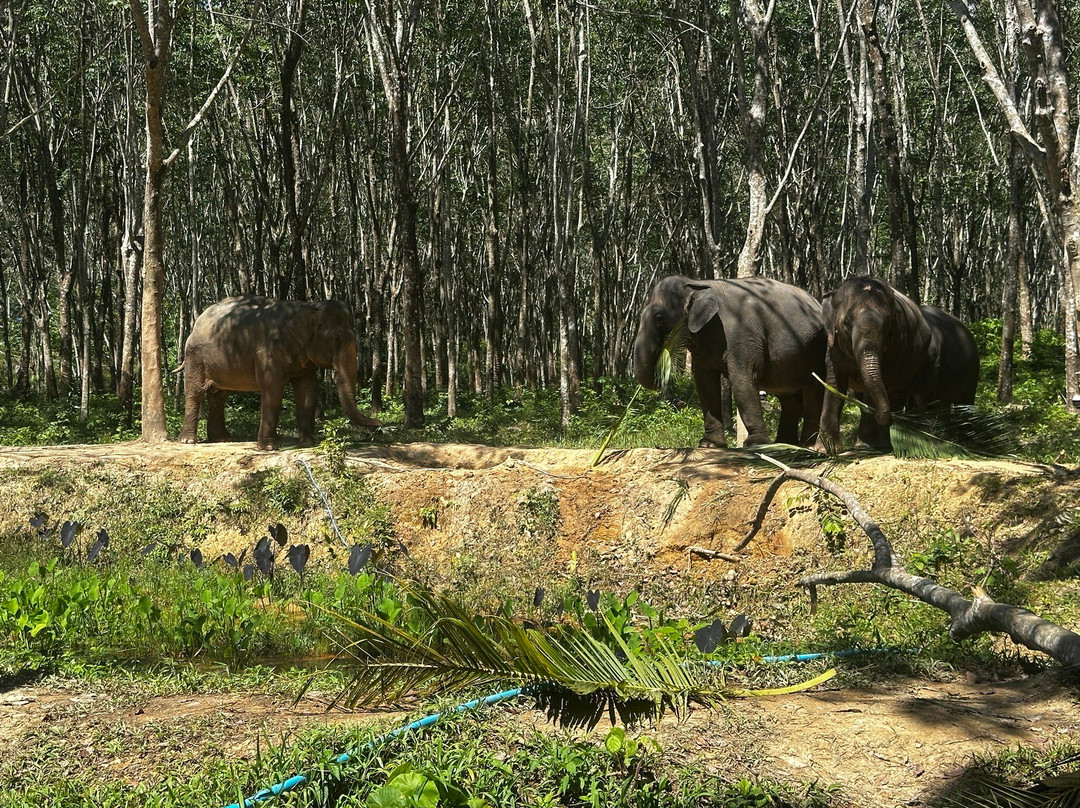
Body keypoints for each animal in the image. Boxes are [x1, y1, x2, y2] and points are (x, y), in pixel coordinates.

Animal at [179, 295, 382, 451]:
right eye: (335, 340)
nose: (378, 426)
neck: (306, 306)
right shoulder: (267, 350)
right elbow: (272, 390)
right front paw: (269, 448)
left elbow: (307, 391)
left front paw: (310, 442)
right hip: (194, 356)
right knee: (195, 392)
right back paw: (188, 440)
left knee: (219, 396)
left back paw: (223, 439)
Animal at [634, 275, 827, 448]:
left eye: (659, 318)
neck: (698, 283)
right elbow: (705, 384)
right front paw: (709, 444)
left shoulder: (741, 335)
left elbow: (741, 379)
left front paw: (755, 443)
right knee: (789, 399)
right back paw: (785, 443)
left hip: (816, 356)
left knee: (813, 395)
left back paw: (807, 445)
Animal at [816, 276, 979, 453]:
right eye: (846, 321)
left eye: (888, 324)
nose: (879, 415)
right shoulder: (832, 346)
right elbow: (834, 384)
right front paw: (824, 450)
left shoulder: (905, 352)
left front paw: (866, 446)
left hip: (967, 371)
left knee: (961, 403)